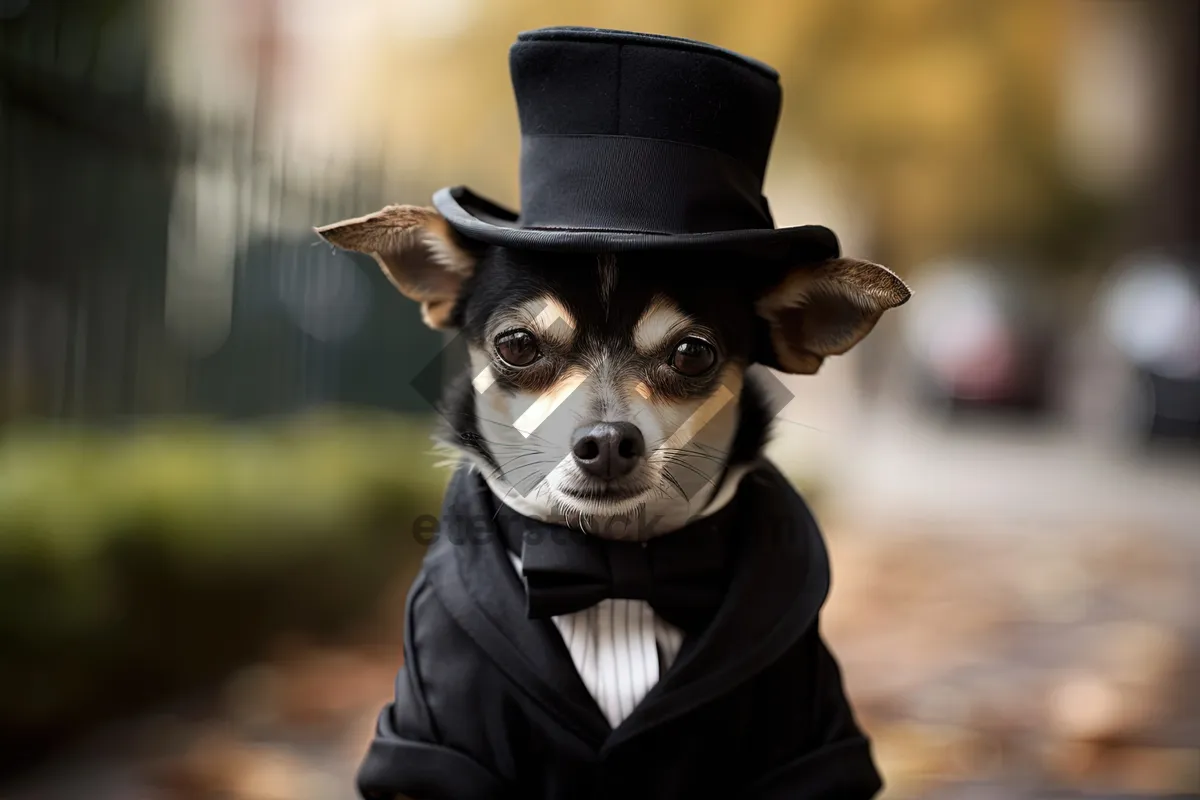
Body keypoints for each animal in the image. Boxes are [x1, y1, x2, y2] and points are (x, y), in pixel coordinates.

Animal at [316, 25, 907, 800]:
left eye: (692, 354)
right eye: (517, 344)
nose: (605, 442)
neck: (618, 568)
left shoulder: (806, 745)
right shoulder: (436, 749)